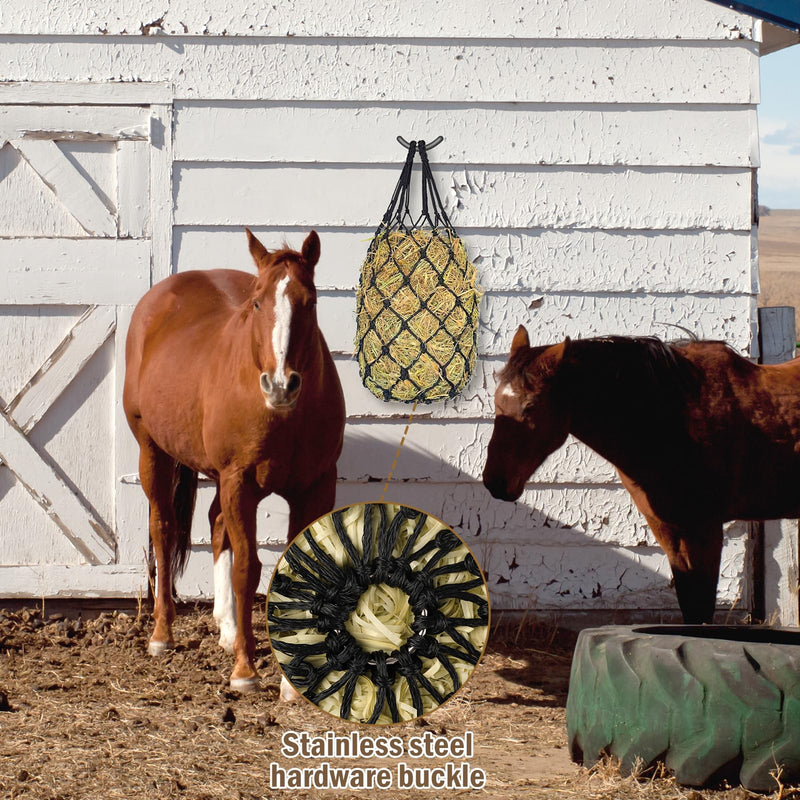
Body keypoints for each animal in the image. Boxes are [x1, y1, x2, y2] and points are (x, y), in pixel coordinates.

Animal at [123, 229, 345, 690]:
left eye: (310, 301)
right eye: (257, 302)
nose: (280, 385)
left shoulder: (316, 486)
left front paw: (293, 684)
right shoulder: (240, 482)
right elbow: (247, 567)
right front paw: (246, 669)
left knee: (216, 524)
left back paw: (226, 626)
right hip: (154, 450)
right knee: (163, 528)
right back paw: (162, 633)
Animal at [483, 325, 800, 624]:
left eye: (530, 406)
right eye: (497, 400)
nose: (495, 481)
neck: (675, 420)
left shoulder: (704, 529)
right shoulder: (669, 531)